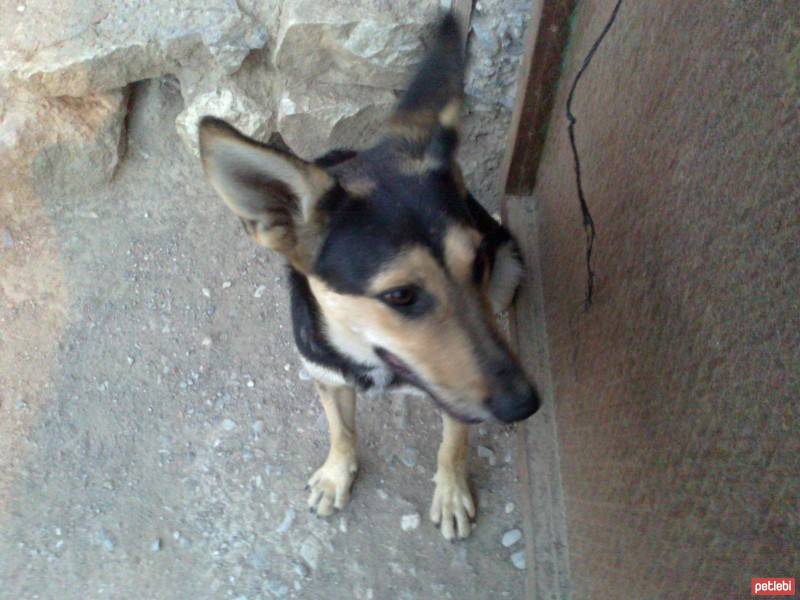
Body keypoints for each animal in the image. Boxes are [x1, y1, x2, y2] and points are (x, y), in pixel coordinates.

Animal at [197, 14, 540, 540]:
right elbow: (341, 430)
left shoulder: (454, 391)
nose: (525, 405)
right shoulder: (325, 374)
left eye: (477, 262)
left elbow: (454, 441)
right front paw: (337, 474)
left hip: (510, 266)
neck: (369, 354)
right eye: (400, 295)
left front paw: (451, 491)